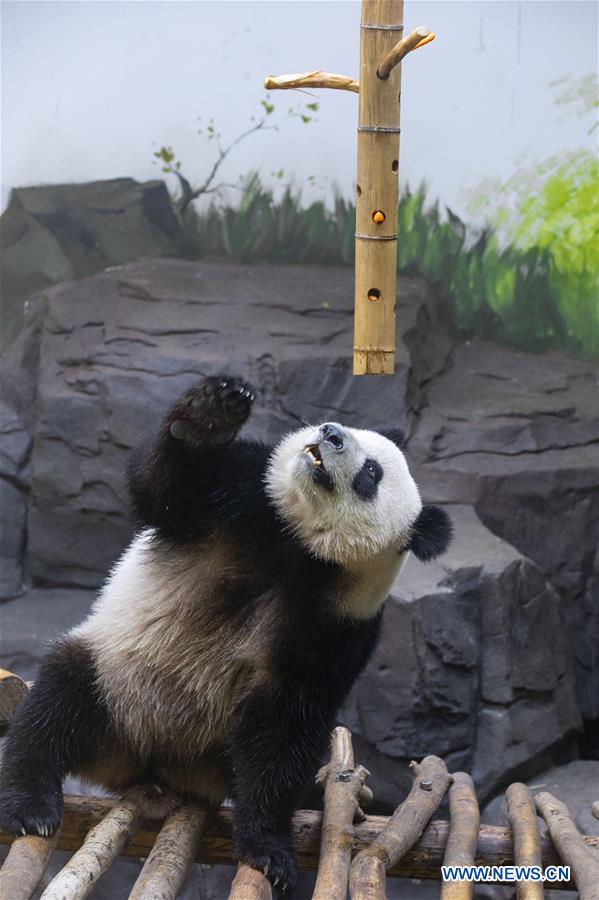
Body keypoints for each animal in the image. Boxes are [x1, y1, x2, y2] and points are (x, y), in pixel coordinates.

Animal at [0, 375, 452, 892]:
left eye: (372, 473)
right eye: (350, 432)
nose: (332, 433)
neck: (302, 547)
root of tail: (146, 766)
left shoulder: (338, 621)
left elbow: (286, 718)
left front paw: (267, 851)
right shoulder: (245, 497)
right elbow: (162, 487)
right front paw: (210, 413)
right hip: (113, 675)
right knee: (57, 701)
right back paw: (32, 804)